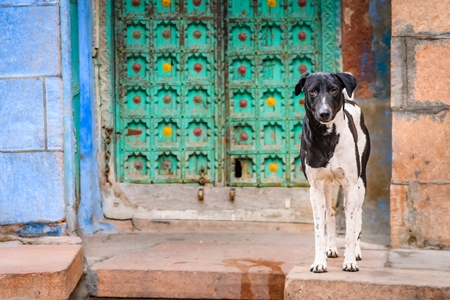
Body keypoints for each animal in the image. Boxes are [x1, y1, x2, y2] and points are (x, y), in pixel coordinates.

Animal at [294, 72, 370, 272]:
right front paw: (319, 262)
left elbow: (350, 230)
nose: (324, 113)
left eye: (334, 90)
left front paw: (349, 261)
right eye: (312, 91)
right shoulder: (315, 189)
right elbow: (320, 229)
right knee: (330, 214)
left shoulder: (351, 186)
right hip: (328, 189)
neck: (326, 137)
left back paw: (356, 252)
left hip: (360, 184)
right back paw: (331, 248)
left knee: (358, 217)